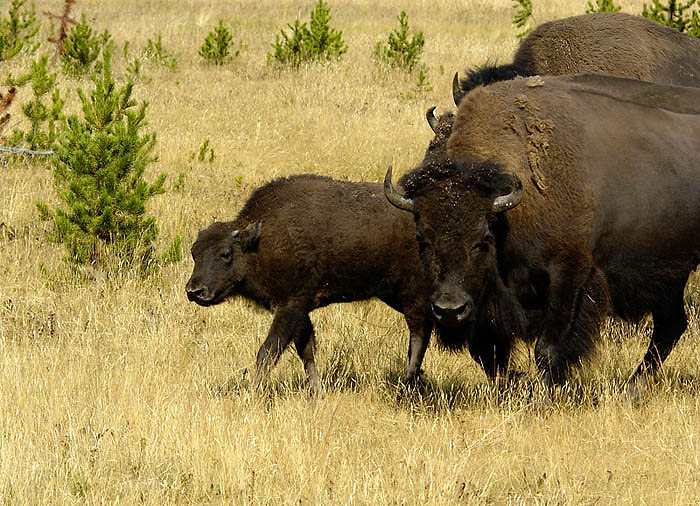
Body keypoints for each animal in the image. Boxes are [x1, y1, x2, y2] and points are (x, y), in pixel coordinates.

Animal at [186, 174, 524, 392]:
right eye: (194, 252)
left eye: (225, 253)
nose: (194, 291)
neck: (262, 236)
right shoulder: (301, 310)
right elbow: (306, 349)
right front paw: (316, 392)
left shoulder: (291, 304)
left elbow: (268, 351)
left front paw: (253, 393)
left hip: (416, 299)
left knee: (419, 338)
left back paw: (410, 384)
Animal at [386, 74, 700, 400]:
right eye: (422, 239)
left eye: (482, 239)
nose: (449, 310)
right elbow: (487, 353)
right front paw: (513, 386)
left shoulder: (569, 276)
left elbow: (547, 348)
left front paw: (544, 395)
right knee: (671, 325)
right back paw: (633, 387)